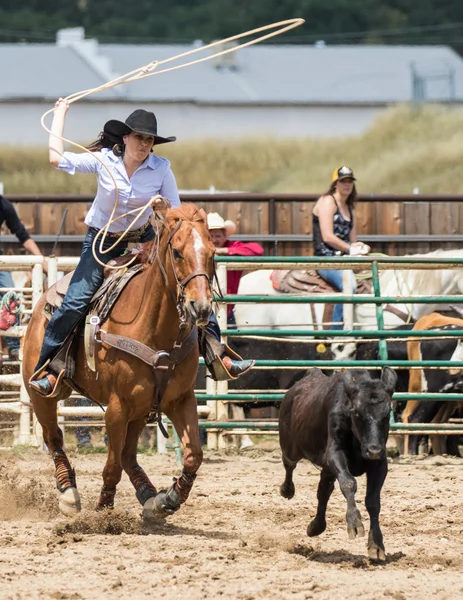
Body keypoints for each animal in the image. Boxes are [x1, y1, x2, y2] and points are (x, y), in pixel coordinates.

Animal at [21, 204, 216, 516]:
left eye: (212, 253)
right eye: (176, 252)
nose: (201, 308)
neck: (155, 330)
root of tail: (42, 302)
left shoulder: (180, 399)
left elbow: (193, 455)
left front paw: (170, 498)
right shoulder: (117, 407)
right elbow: (111, 467)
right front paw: (104, 509)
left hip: (143, 408)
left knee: (128, 455)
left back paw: (150, 495)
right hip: (41, 394)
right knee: (55, 438)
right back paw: (68, 492)